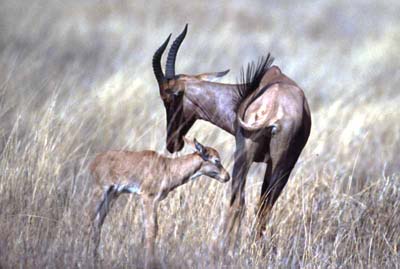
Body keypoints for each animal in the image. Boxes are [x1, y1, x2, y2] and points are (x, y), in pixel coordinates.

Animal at [89, 137, 230, 266]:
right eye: (216, 160)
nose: (227, 176)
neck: (168, 167)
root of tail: (95, 161)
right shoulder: (148, 198)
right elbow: (152, 230)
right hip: (100, 192)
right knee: (90, 219)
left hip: (112, 195)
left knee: (98, 222)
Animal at [152, 24, 310, 248]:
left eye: (167, 98)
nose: (172, 143)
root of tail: (274, 107)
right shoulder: (272, 164)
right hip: (283, 164)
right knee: (264, 207)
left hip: (244, 156)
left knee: (238, 202)